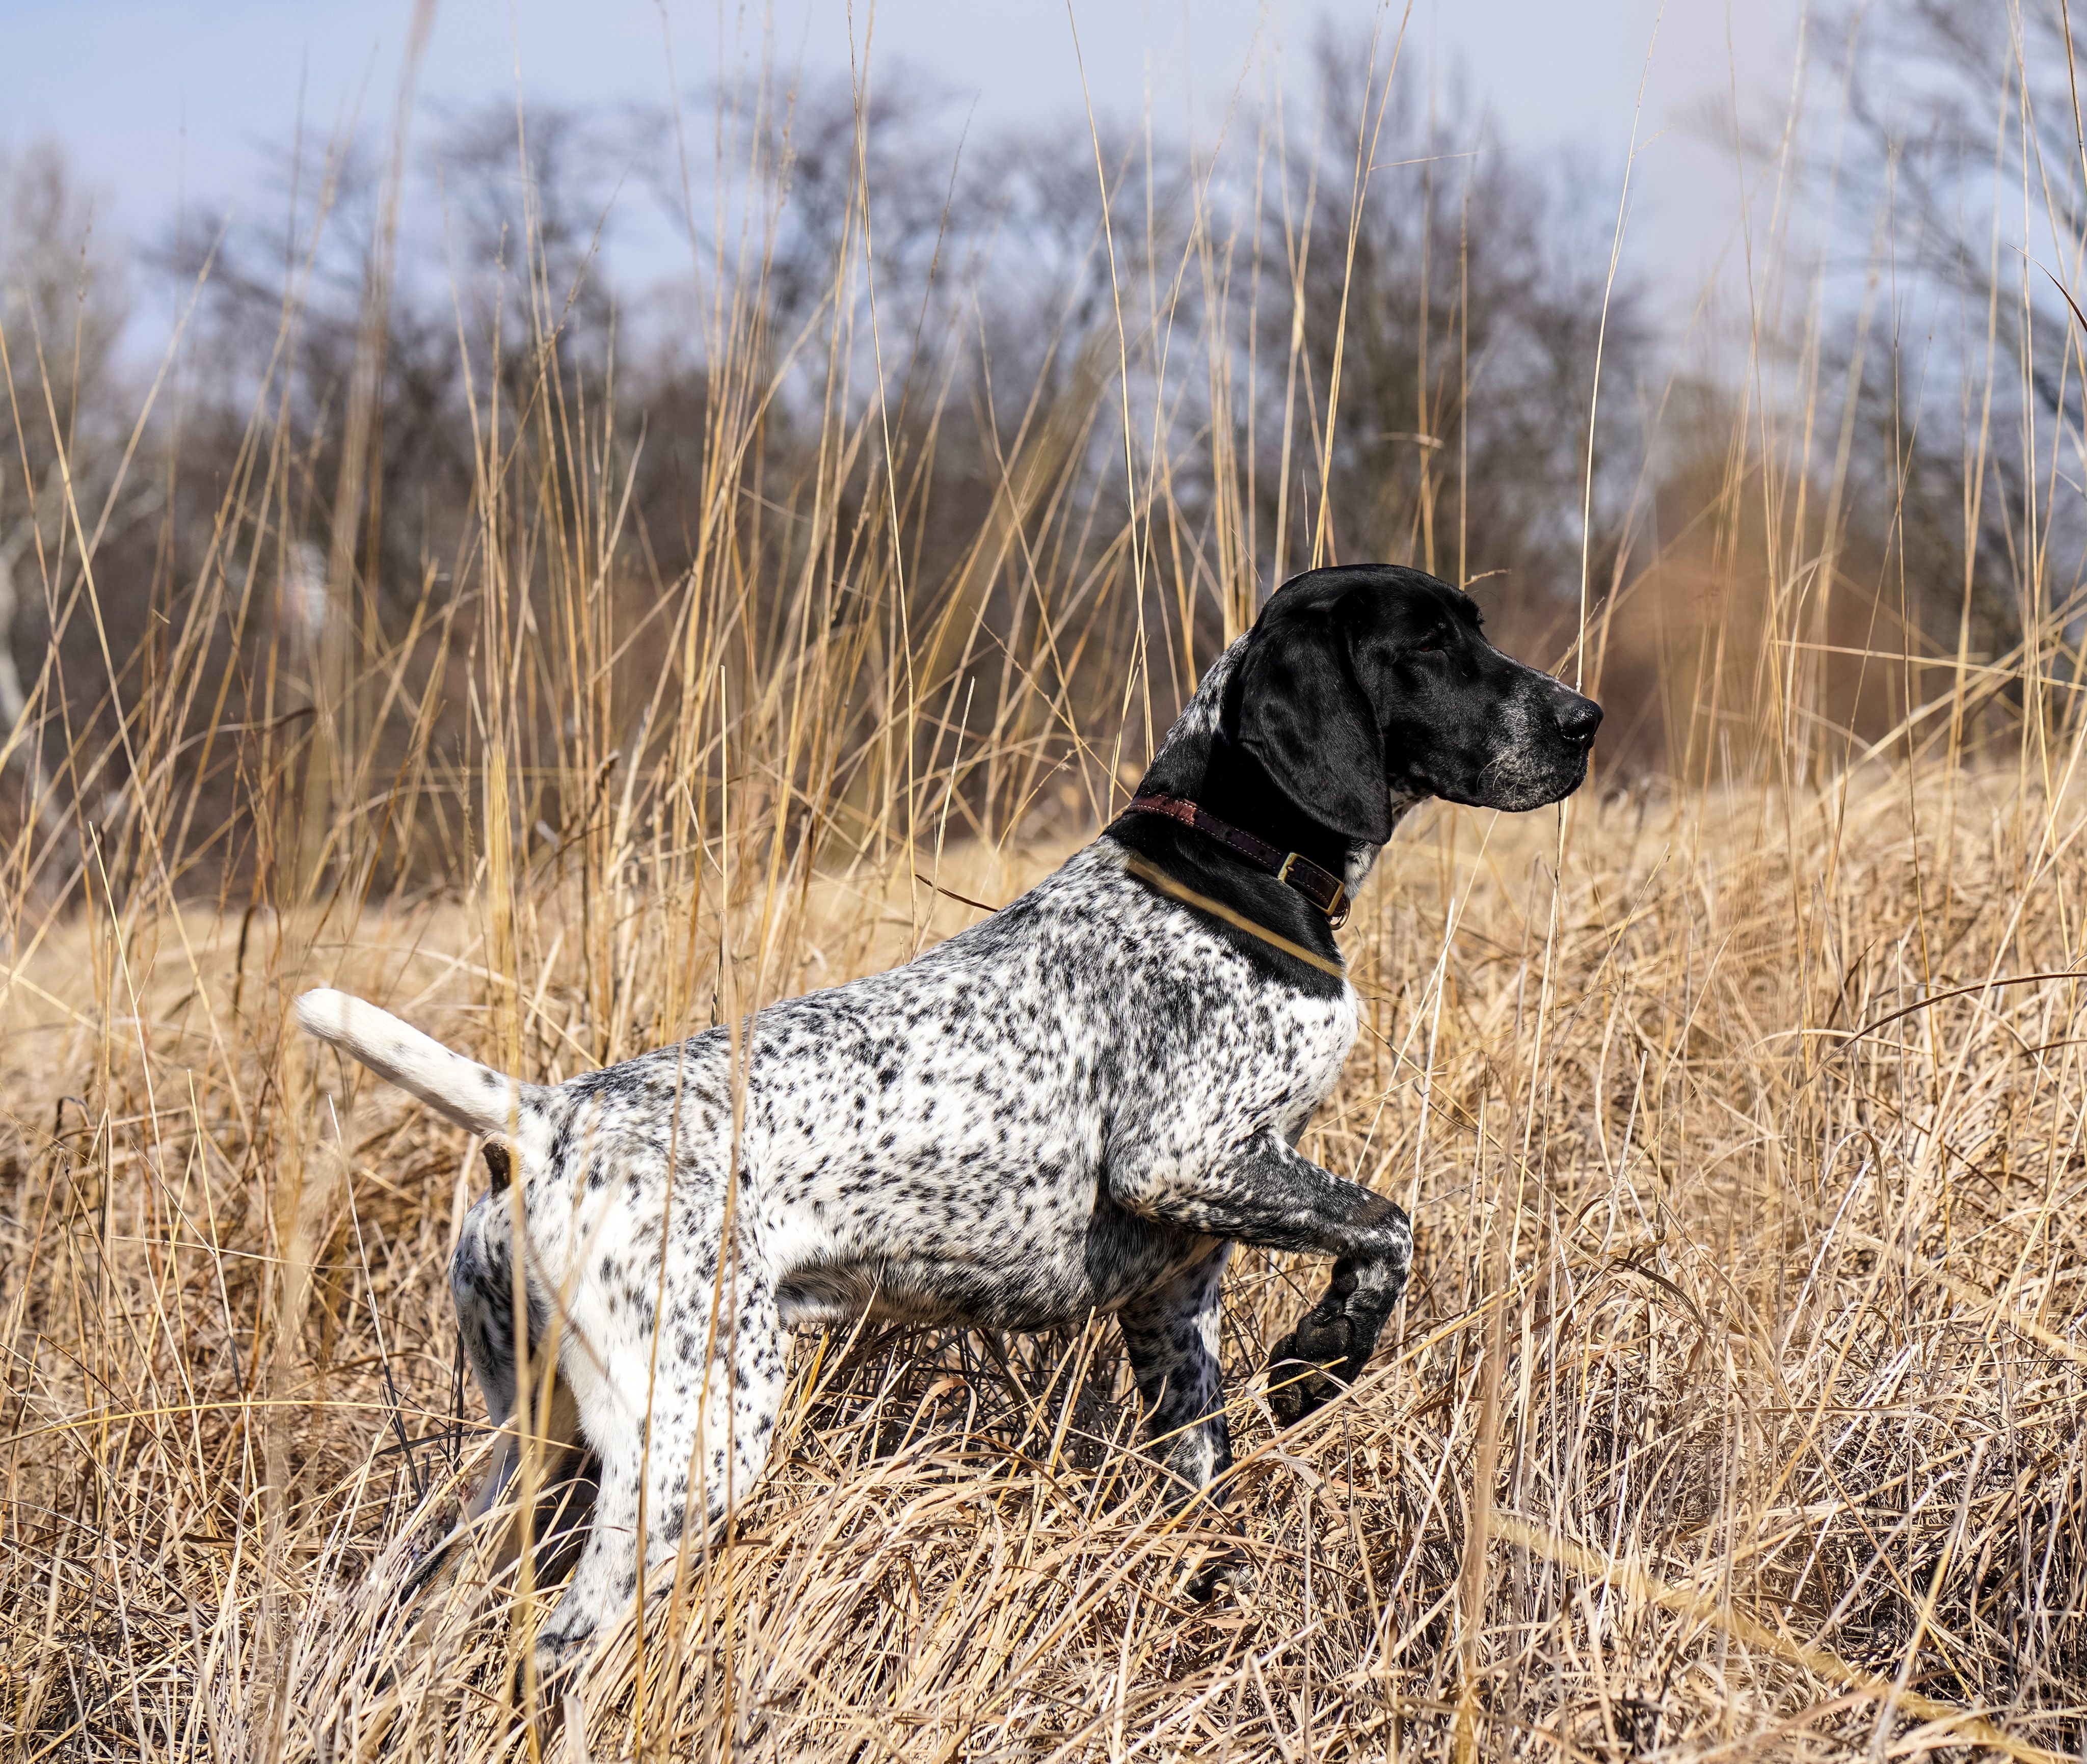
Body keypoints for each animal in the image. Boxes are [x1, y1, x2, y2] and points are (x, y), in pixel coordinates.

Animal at [294, 559, 1594, 1662]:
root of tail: (544, 1119)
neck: (1230, 863)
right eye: (1429, 643)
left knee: (423, 1595)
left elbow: (1205, 1481)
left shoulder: (1173, 1299)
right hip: (692, 1440)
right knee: (567, 1649)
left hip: (534, 1447)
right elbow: (1388, 1226)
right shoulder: (1184, 1156)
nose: (1580, 719)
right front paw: (1321, 1361)